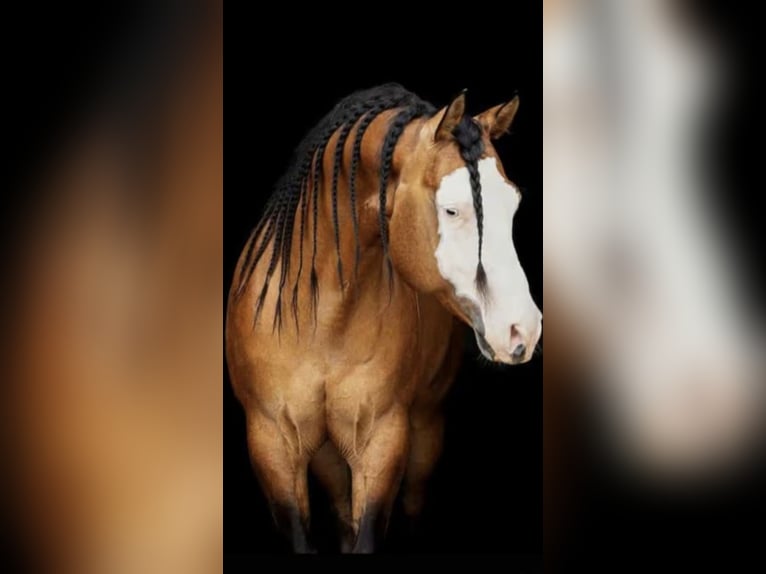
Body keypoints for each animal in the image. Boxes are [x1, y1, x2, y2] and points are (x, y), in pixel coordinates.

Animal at [225, 84, 542, 553]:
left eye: (514, 204)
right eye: (451, 210)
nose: (523, 329)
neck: (323, 320)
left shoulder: (381, 440)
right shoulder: (273, 446)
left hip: (424, 430)